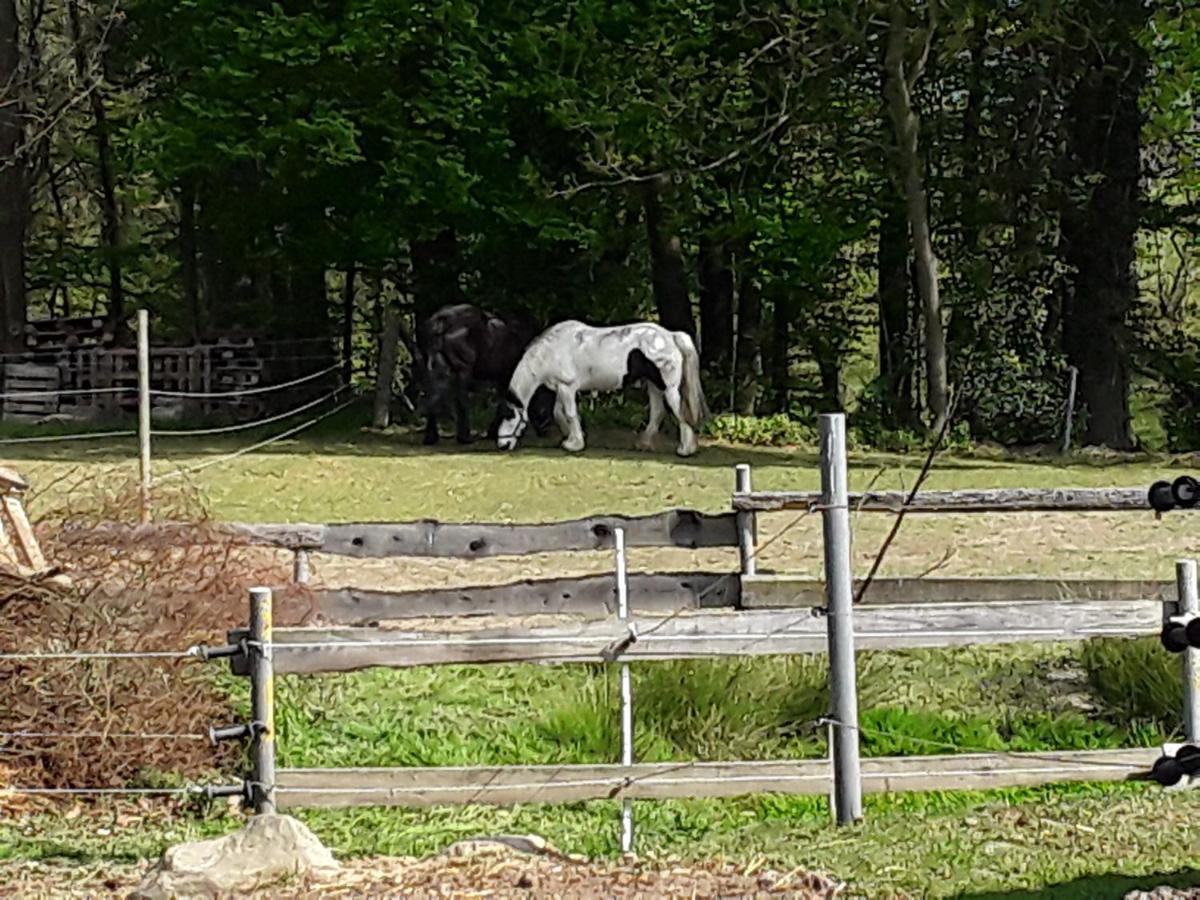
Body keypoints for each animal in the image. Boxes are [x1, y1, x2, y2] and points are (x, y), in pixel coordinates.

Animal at [417, 304, 556, 446]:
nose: (546, 429)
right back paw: (465, 437)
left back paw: (431, 437)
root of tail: (442, 321)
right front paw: (495, 431)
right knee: (460, 400)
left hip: (431, 368)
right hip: (462, 370)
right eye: (547, 400)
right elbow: (503, 402)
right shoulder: (506, 376)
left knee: (432, 397)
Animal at [494, 321, 705, 458]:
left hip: (669, 388)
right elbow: (559, 414)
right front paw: (570, 437)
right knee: (657, 413)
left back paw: (685, 450)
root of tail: (671, 336)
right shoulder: (561, 389)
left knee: (680, 413)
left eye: (509, 416)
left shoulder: (567, 388)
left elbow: (569, 414)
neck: (549, 352)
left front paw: (575, 444)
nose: (502, 445)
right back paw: (643, 444)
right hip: (653, 386)